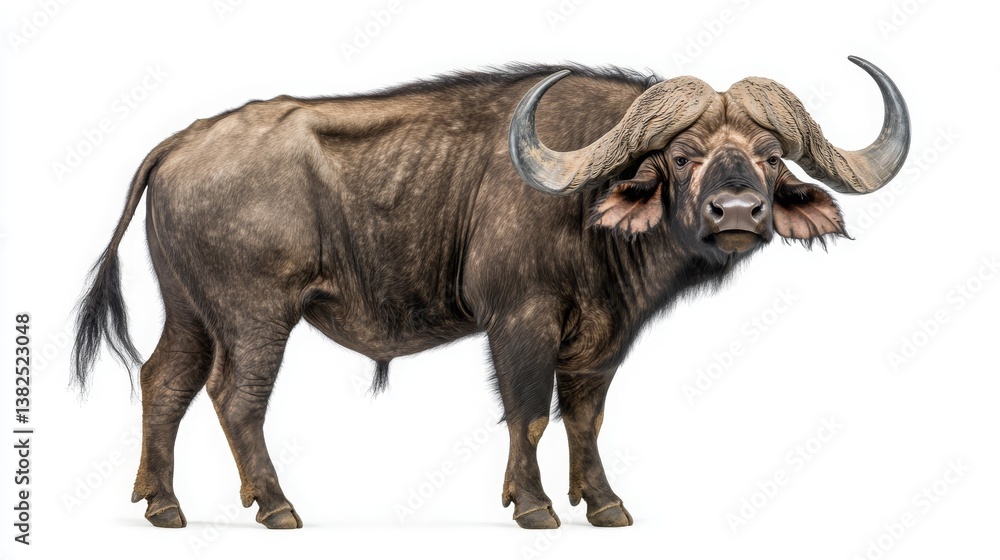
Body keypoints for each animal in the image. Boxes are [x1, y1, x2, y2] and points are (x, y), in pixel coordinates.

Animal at [72, 56, 909, 530]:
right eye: (682, 154)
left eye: (769, 155)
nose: (737, 214)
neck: (585, 205)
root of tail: (181, 142)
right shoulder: (520, 320)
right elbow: (529, 414)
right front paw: (533, 506)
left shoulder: (601, 338)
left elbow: (585, 418)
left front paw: (605, 504)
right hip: (255, 315)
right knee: (235, 397)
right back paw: (276, 506)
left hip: (190, 312)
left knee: (164, 382)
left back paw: (163, 505)